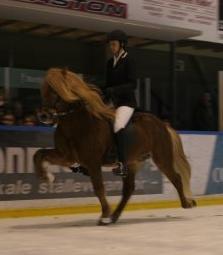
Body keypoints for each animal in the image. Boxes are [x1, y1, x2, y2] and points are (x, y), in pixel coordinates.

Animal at [34, 67, 196, 225]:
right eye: (43, 90)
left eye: (56, 91)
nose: (43, 116)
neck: (76, 123)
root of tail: (162, 123)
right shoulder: (67, 156)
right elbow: (39, 154)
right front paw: (46, 176)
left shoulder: (92, 162)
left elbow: (99, 188)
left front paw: (104, 215)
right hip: (132, 162)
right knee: (128, 189)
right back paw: (115, 216)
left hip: (161, 157)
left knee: (176, 177)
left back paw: (186, 203)